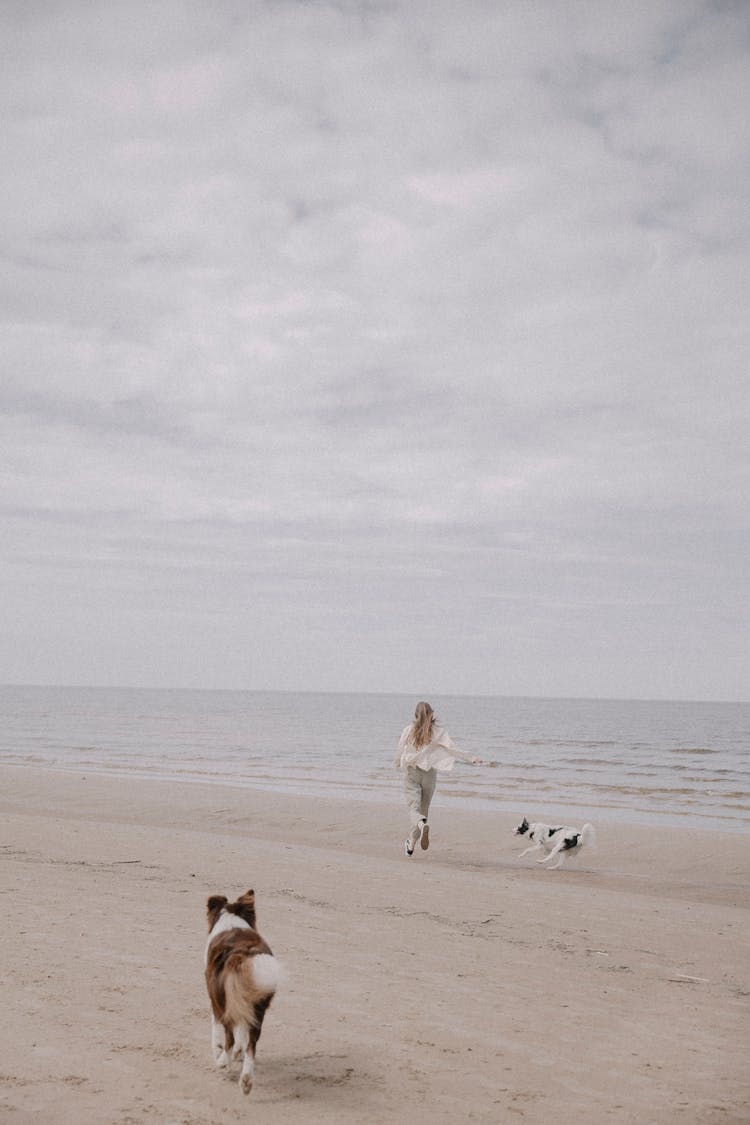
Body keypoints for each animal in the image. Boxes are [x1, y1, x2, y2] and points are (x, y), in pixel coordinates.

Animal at [203, 891, 283, 1093]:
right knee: (252, 1044)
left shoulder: (216, 1001)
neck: (231, 920)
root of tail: (241, 953)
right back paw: (246, 1080)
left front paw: (219, 1051)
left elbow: (217, 1029)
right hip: (257, 1008)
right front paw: (239, 1051)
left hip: (224, 1002)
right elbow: (242, 1033)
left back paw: (223, 1062)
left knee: (229, 1037)